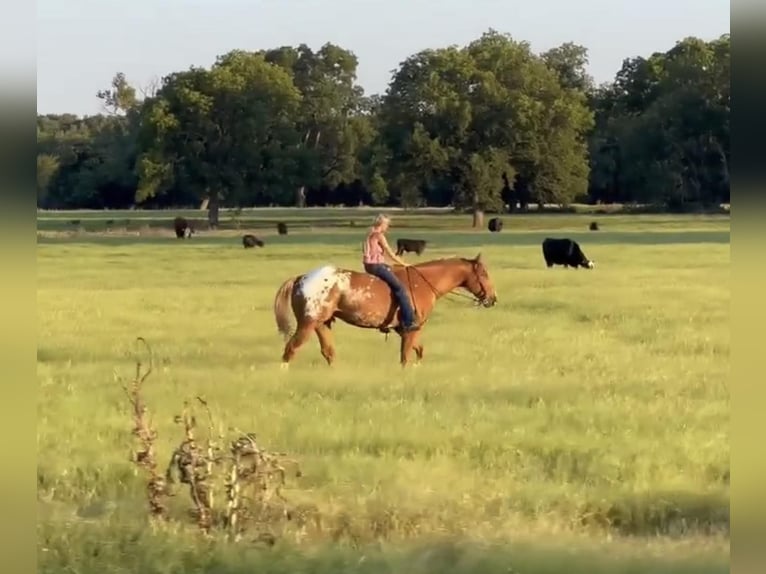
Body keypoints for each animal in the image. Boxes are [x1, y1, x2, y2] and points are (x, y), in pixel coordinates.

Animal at [272, 253, 500, 368]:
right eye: (484, 274)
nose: (492, 299)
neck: (422, 283)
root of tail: (301, 278)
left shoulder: (406, 330)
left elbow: (418, 351)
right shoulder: (410, 329)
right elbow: (405, 356)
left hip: (322, 324)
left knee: (328, 352)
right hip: (307, 324)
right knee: (290, 350)